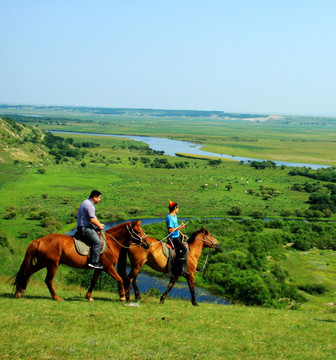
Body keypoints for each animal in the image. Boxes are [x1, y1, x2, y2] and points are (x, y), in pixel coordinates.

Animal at [13, 221, 147, 302]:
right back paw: (56, 297)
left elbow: (93, 282)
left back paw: (20, 292)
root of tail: (39, 240)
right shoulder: (108, 267)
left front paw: (89, 297)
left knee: (27, 272)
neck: (111, 243)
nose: (147, 244)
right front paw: (123, 297)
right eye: (138, 231)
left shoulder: (99, 268)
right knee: (48, 280)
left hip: (42, 263)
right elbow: (119, 279)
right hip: (52, 265)